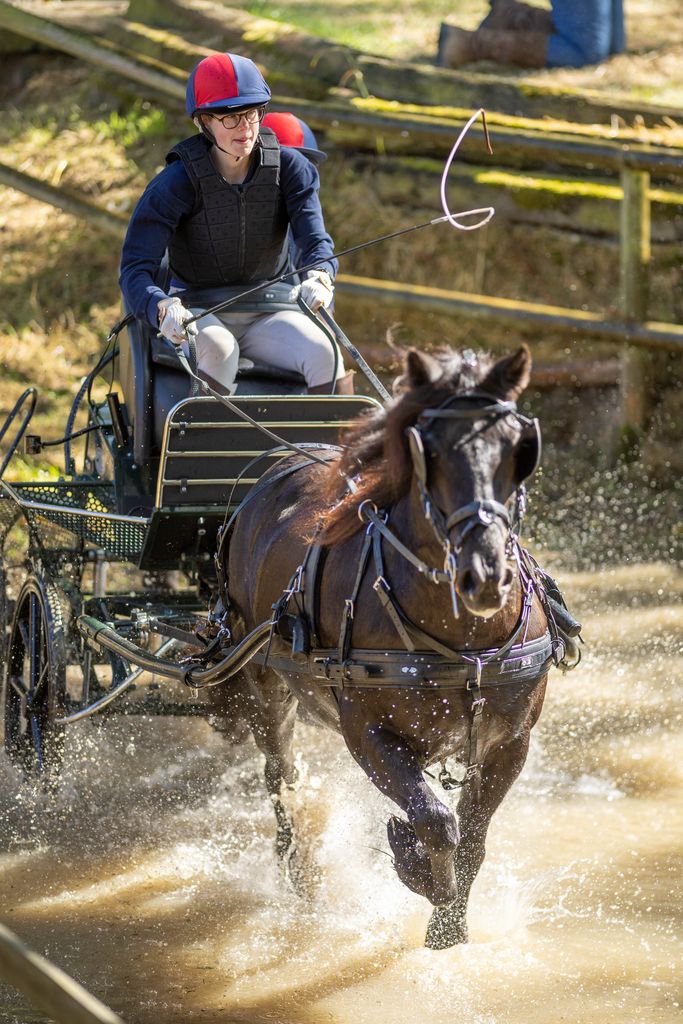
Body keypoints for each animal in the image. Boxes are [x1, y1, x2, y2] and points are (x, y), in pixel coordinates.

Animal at [210, 346, 557, 950]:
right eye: (429, 452)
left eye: (519, 448)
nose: (486, 574)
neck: (462, 645)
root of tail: (276, 466)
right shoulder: (369, 736)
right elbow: (438, 823)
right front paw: (415, 864)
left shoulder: (509, 744)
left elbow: (472, 839)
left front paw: (448, 932)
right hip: (265, 688)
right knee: (281, 779)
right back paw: (297, 873)